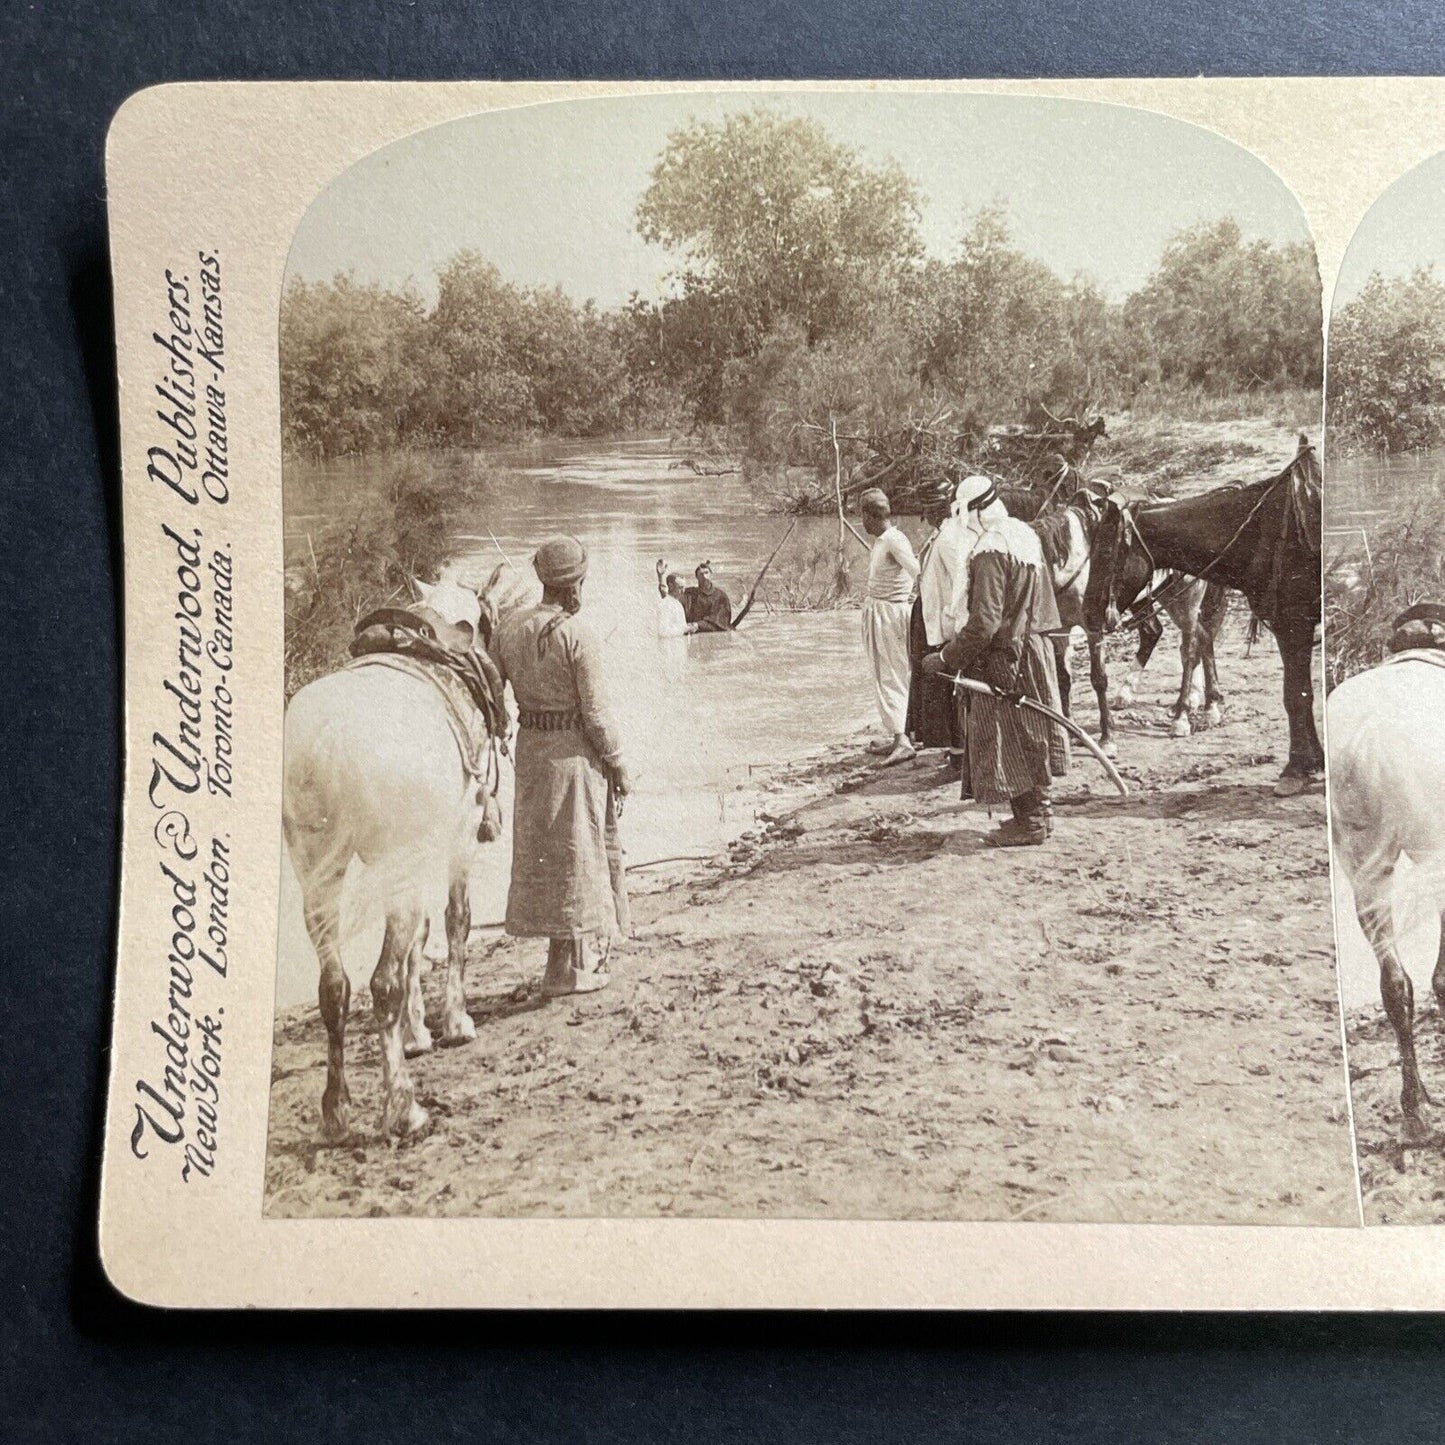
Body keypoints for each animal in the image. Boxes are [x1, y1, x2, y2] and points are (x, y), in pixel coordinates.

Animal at [281, 566, 514, 1138]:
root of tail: (332, 740)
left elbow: (420, 940)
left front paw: (415, 1033)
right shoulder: (456, 839)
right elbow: (454, 923)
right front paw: (453, 1022)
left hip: (318, 876)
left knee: (335, 988)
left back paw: (336, 1110)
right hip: (393, 866)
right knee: (381, 983)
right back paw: (402, 1107)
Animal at [1086, 433, 1323, 797]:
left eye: (1107, 550)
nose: (1086, 611)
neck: (1265, 530)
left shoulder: (1293, 624)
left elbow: (1295, 695)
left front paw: (1297, 768)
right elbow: (1301, 693)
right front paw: (1313, 763)